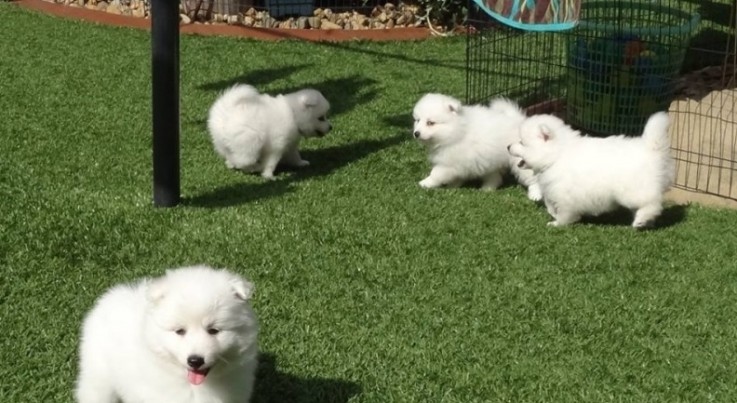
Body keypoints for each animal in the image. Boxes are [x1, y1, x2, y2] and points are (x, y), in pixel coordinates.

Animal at [508, 112, 676, 229]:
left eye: (521, 142)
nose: (508, 146)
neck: (556, 155)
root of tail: (651, 149)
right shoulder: (553, 190)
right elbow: (550, 205)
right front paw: (552, 214)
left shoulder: (564, 195)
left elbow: (564, 212)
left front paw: (557, 223)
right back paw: (645, 221)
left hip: (633, 192)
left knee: (652, 203)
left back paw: (641, 220)